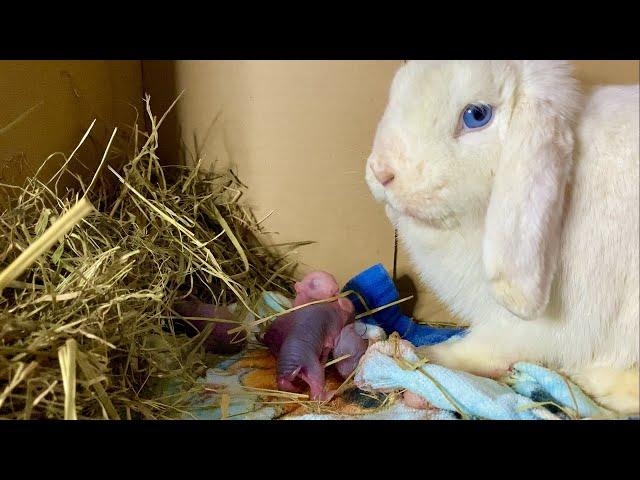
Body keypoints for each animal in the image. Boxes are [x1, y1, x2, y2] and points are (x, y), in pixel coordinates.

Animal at [364, 60, 640, 414]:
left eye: (476, 115)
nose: (381, 172)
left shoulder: (522, 327)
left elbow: (485, 348)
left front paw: (429, 355)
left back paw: (597, 382)